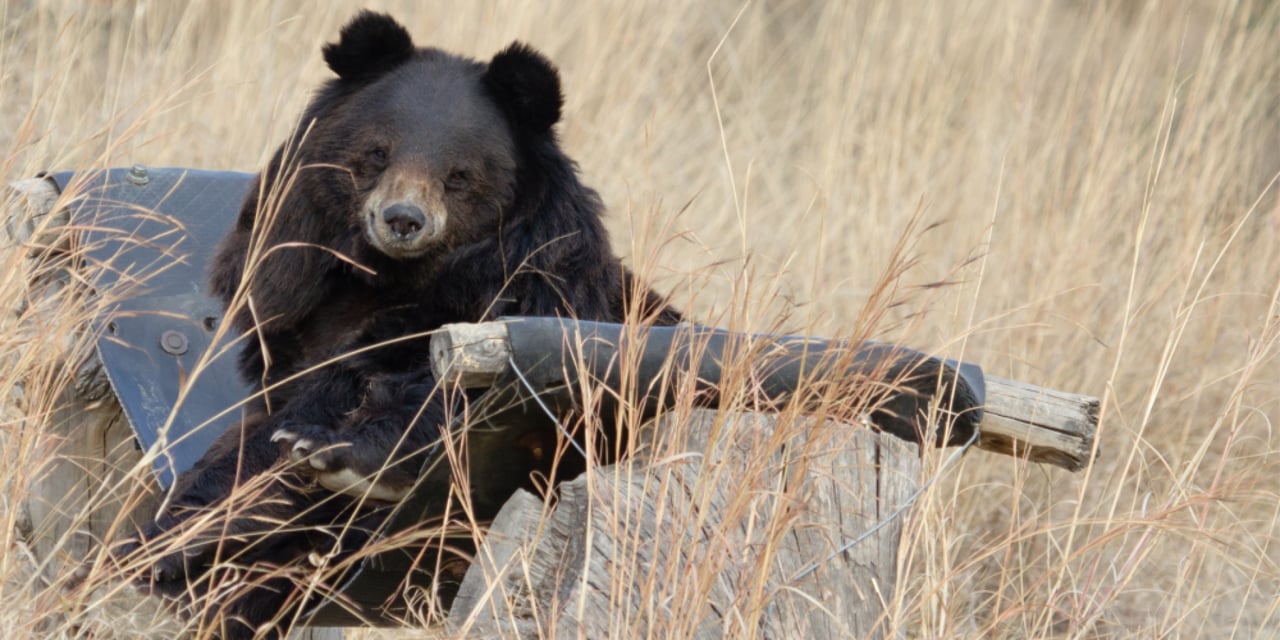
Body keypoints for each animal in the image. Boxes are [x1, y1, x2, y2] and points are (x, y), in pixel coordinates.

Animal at [119, 11, 680, 640]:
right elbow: (250, 433)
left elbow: (429, 399)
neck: (388, 277)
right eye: (377, 153)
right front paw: (166, 540)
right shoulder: (289, 311)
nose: (404, 220)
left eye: (459, 176)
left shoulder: (532, 309)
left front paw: (324, 450)